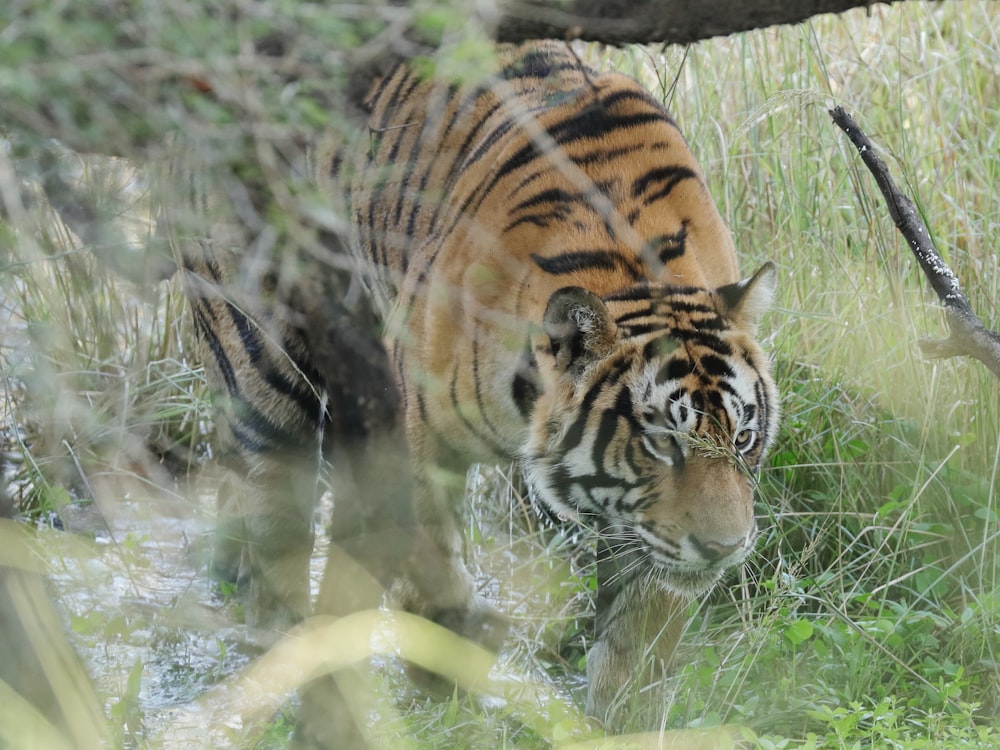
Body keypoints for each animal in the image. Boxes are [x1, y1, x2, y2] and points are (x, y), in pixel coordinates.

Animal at [176, 38, 776, 732]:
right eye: (661, 443)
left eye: (743, 439)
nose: (723, 549)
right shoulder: (412, 426)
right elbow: (427, 555)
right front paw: (449, 658)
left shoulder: (649, 534)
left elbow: (639, 637)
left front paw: (619, 721)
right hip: (261, 352)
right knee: (275, 517)